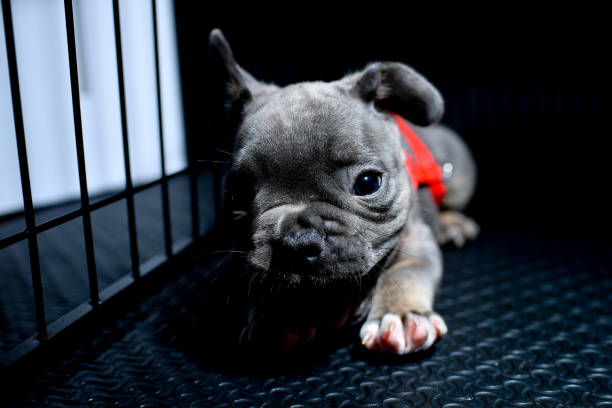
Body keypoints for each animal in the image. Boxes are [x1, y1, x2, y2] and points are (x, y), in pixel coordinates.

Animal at [208, 27, 480, 354]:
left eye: (368, 183)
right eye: (236, 197)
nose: (296, 241)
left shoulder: (418, 241)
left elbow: (405, 272)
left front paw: (400, 313)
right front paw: (279, 316)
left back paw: (455, 223)